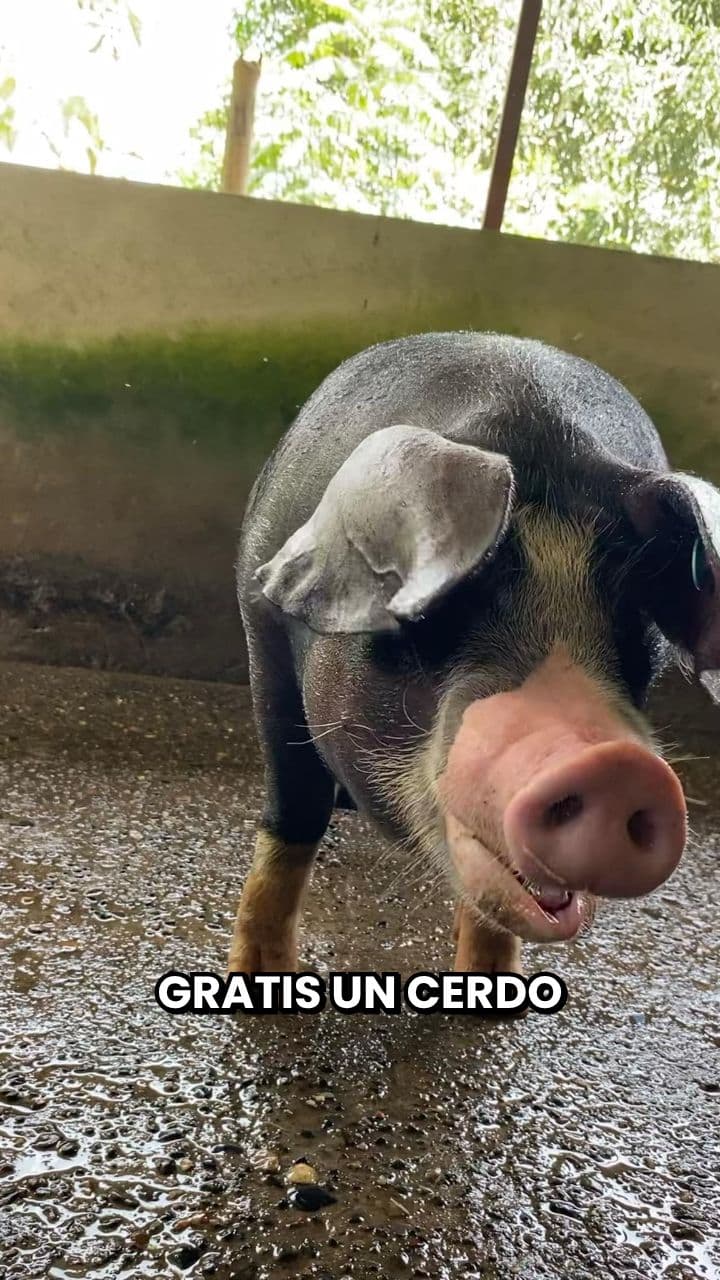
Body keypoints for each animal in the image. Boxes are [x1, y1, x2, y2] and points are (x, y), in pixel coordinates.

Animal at [229, 332, 720, 976]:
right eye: (426, 621)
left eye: (636, 642)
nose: (616, 766)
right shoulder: (261, 623)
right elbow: (292, 814)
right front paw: (257, 974)